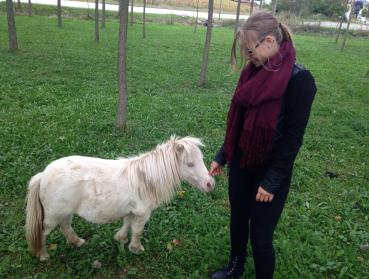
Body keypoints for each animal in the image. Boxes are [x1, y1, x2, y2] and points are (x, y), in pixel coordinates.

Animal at [25, 137, 214, 262]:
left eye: (201, 159)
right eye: (190, 164)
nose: (210, 184)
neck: (145, 180)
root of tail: (42, 175)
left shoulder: (131, 211)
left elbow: (127, 224)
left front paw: (121, 239)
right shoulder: (142, 213)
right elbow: (137, 231)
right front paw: (136, 249)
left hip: (64, 212)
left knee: (66, 226)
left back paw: (77, 242)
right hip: (53, 216)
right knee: (43, 232)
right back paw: (43, 255)